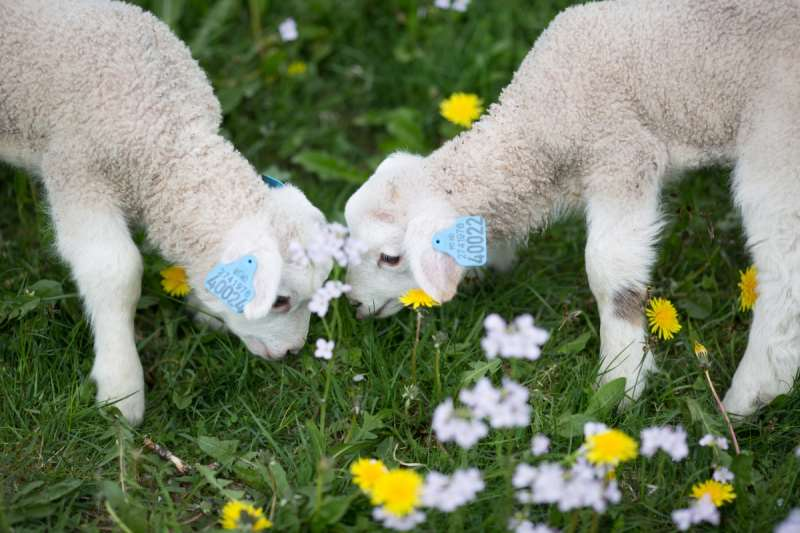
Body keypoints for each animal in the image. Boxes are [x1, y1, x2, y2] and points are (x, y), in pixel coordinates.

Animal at [0, 0, 332, 424]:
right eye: (279, 301)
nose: (292, 352)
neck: (166, 131)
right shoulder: (78, 172)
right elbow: (116, 271)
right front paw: (121, 390)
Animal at [346, 0, 800, 416]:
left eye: (391, 258)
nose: (352, 306)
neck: (543, 123)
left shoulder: (621, 152)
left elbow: (608, 269)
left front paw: (622, 377)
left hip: (776, 138)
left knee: (783, 269)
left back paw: (751, 394)